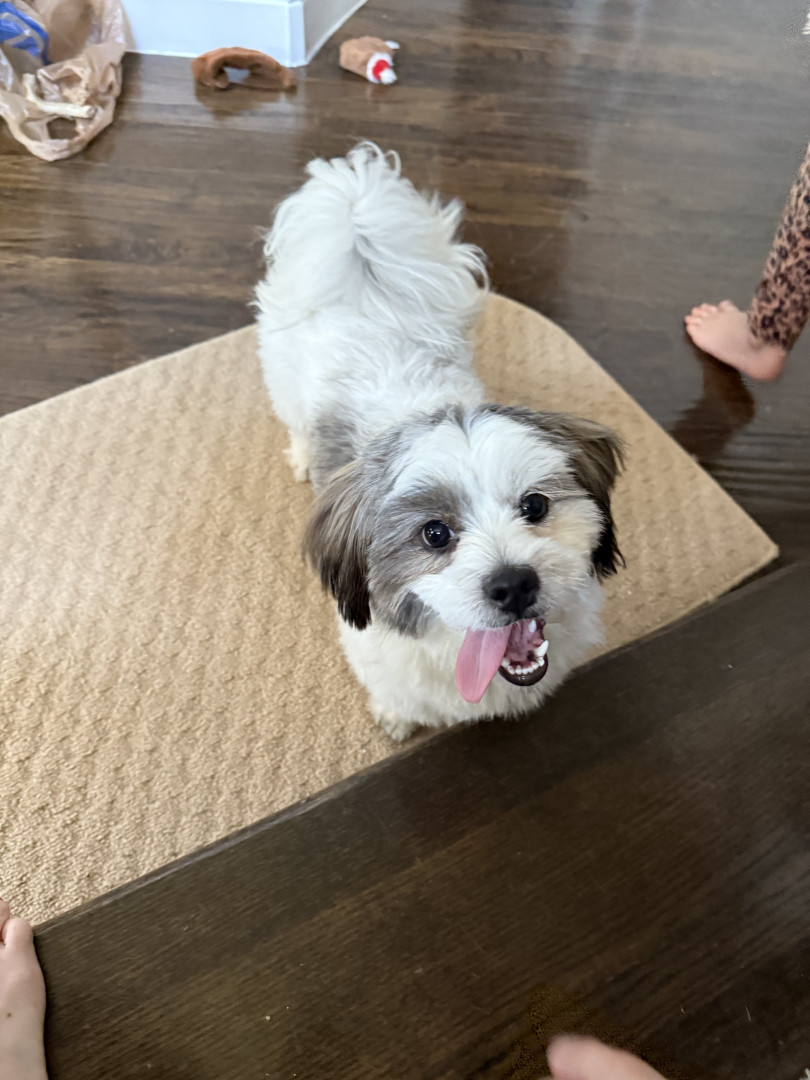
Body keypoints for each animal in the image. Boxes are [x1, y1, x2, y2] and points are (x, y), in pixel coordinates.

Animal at [255, 144, 623, 740]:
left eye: (535, 505)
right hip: (283, 378)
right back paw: (304, 454)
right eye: (434, 534)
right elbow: (397, 696)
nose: (513, 584)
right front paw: (396, 720)